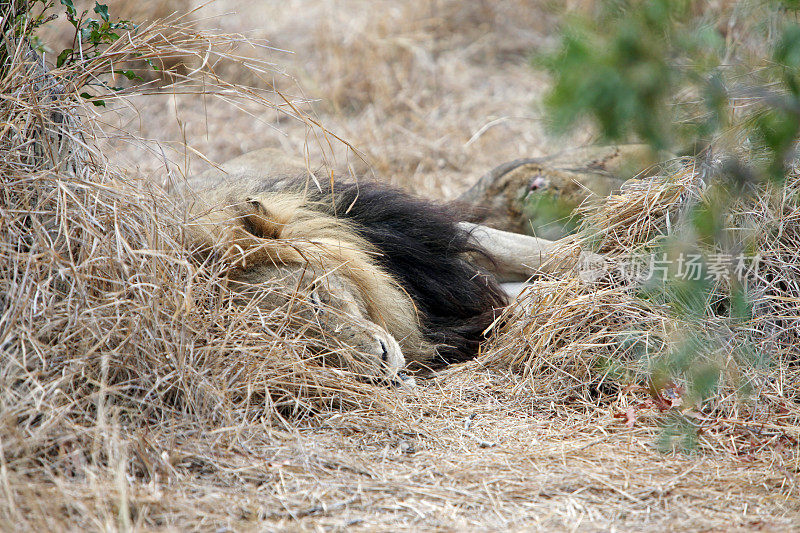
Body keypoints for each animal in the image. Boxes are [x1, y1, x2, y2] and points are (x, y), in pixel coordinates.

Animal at [186, 148, 612, 382]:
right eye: (295, 345)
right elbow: (519, 304)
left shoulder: (431, 241)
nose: (381, 365)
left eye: (315, 298)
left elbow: (535, 250)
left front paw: (608, 265)